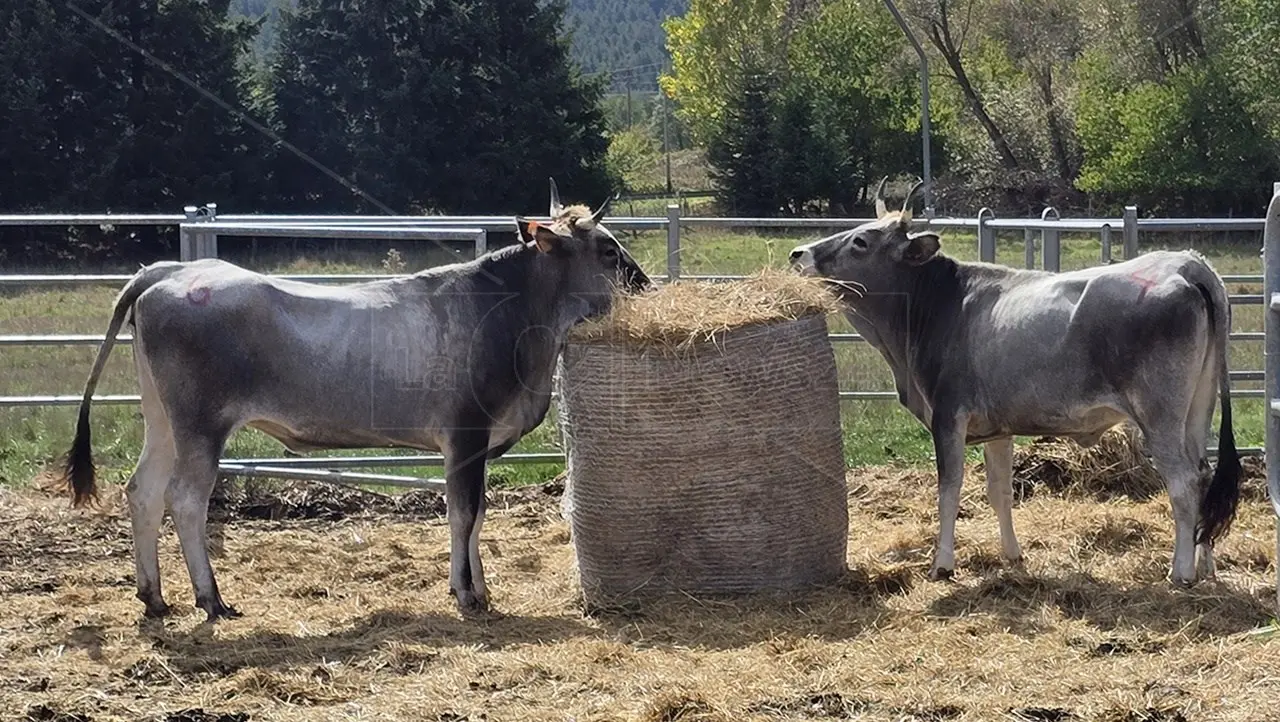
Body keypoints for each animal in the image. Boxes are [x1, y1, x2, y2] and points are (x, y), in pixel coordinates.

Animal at [55, 179, 650, 619]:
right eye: (608, 249)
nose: (645, 284)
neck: (515, 320)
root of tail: (172, 271)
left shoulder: (476, 445)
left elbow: (477, 515)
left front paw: (477, 588)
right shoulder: (466, 435)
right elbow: (464, 512)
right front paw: (466, 592)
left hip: (162, 420)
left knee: (143, 491)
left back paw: (154, 597)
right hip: (201, 426)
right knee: (184, 499)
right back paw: (212, 599)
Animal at [788, 179, 1239, 586]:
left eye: (861, 241)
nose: (797, 254)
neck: (939, 305)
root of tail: (1185, 263)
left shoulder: (948, 416)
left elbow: (949, 489)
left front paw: (942, 564)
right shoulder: (997, 428)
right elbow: (999, 491)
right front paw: (1012, 555)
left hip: (1159, 415)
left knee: (1182, 481)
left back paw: (1180, 571)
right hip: (1197, 410)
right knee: (1203, 473)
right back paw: (1206, 566)